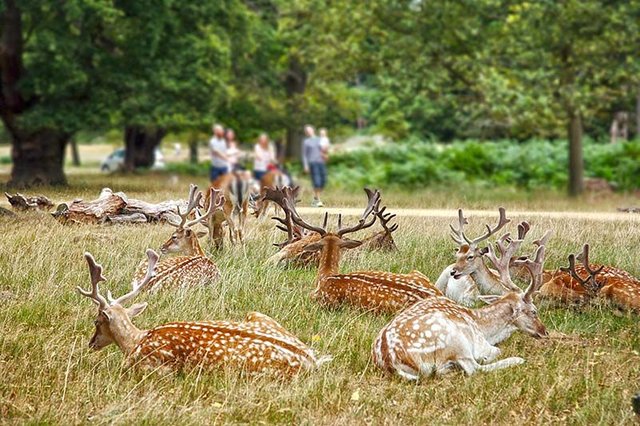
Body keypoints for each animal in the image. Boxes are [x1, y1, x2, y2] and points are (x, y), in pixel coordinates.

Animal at [77, 250, 332, 372]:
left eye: (96, 321)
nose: (91, 343)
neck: (135, 342)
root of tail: (311, 359)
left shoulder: (150, 367)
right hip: (257, 313)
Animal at [372, 236, 548, 380]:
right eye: (534, 311)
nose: (544, 332)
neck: (484, 327)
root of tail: (391, 361)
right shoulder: (480, 344)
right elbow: (495, 352)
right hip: (455, 340)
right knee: (473, 369)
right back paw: (516, 359)